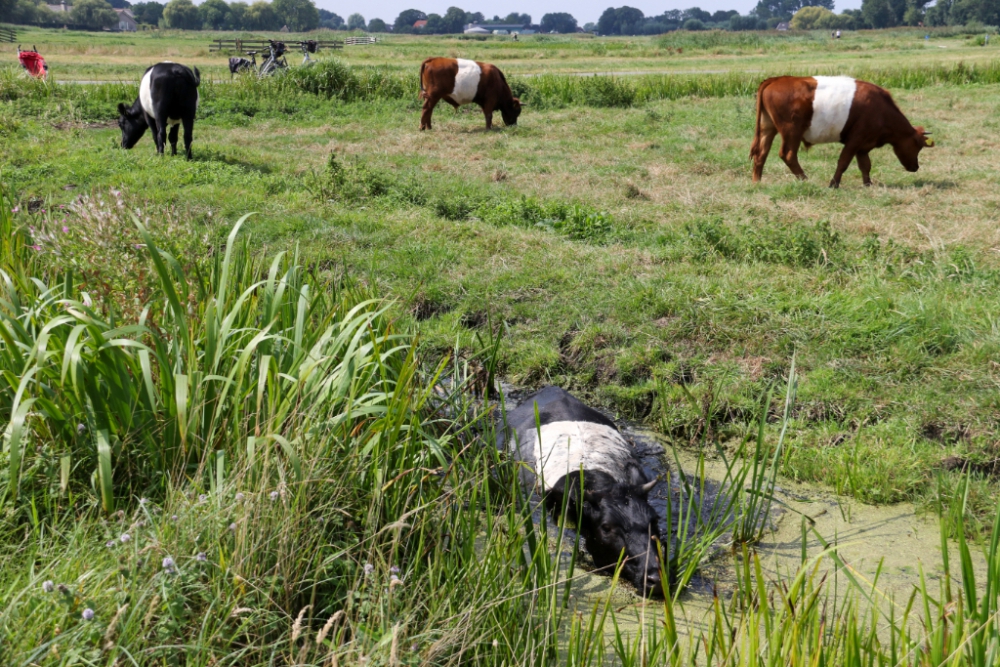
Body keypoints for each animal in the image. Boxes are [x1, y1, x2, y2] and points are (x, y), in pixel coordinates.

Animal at [752, 76, 936, 189]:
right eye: (918, 146)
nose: (915, 167)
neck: (882, 111)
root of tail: (776, 79)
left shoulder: (863, 145)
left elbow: (865, 165)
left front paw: (868, 184)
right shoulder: (855, 140)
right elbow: (843, 162)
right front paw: (833, 184)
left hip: (767, 127)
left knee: (761, 153)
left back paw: (757, 182)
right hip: (792, 131)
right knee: (788, 155)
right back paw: (805, 180)